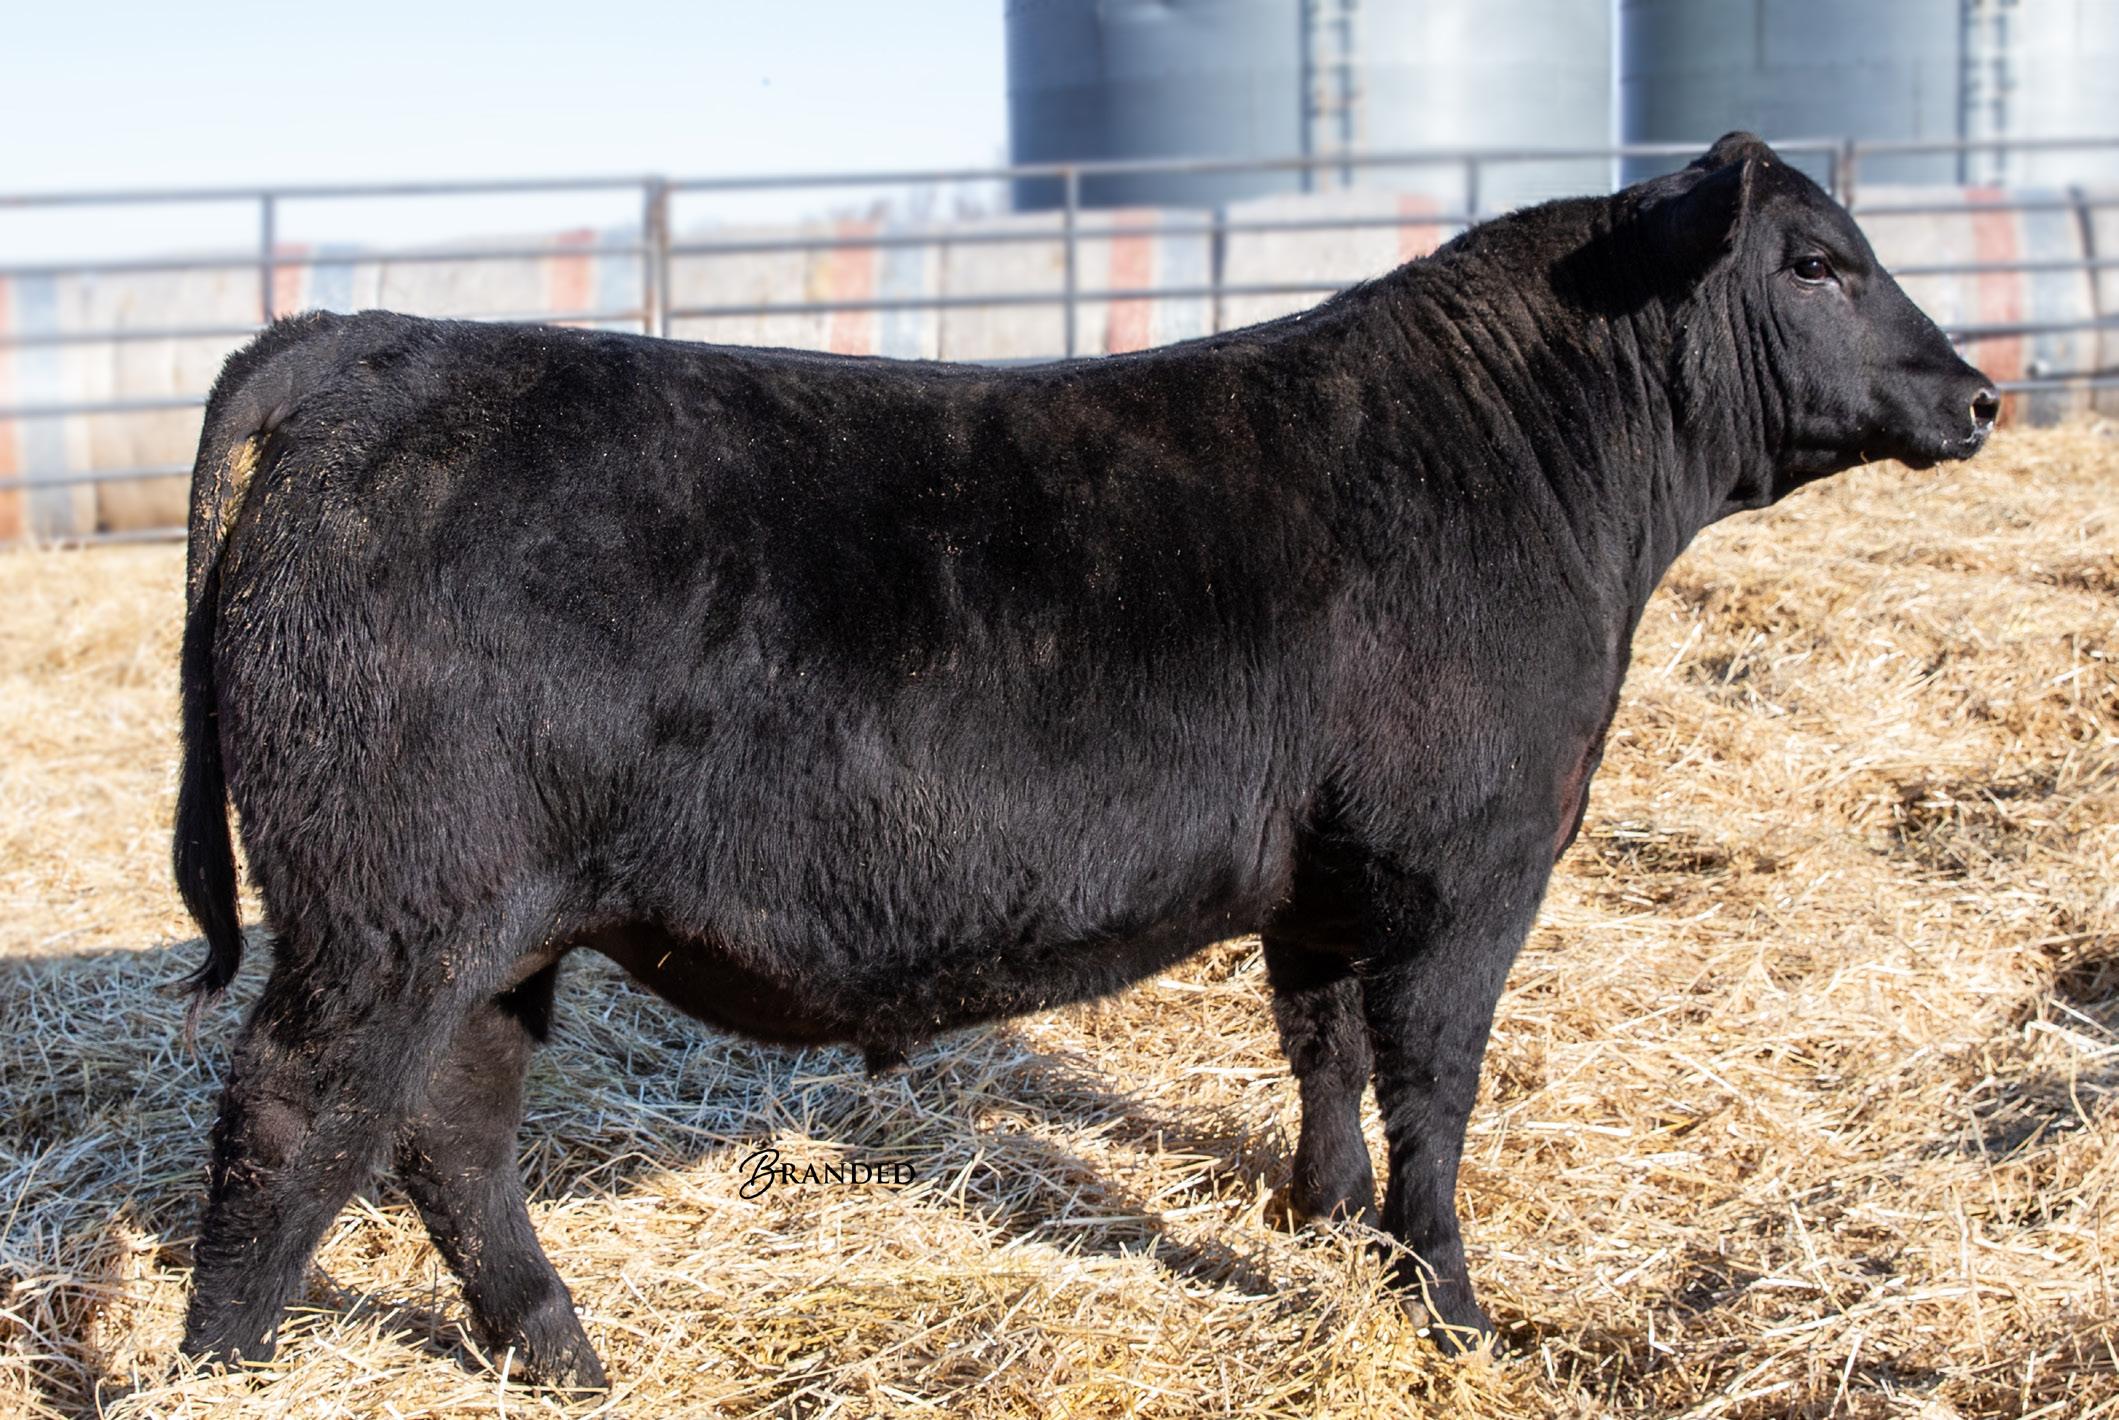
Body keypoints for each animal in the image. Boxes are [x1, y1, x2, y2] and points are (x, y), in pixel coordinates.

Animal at [171, 134, 1995, 1388]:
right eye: (1816, 261)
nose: (1977, 392)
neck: (1534, 471)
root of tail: (370, 340)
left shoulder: (1320, 878)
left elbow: (1319, 1047)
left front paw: (1316, 1222)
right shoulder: (1461, 871)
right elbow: (1432, 1093)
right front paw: (1453, 1314)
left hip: (491, 926)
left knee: (451, 1127)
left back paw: (560, 1354)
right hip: (392, 910)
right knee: (296, 1110)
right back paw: (225, 1365)